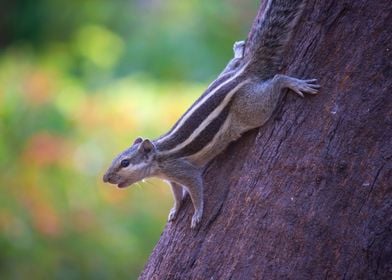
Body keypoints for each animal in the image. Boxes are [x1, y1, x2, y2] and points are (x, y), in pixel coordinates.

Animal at [103, 0, 318, 229]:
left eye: (125, 163)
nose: (105, 178)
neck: (159, 157)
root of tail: (242, 74)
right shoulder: (173, 179)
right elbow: (177, 194)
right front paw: (175, 209)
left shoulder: (184, 171)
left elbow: (196, 190)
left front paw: (197, 213)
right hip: (231, 76)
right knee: (234, 63)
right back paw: (239, 51)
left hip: (251, 108)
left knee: (275, 82)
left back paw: (291, 82)